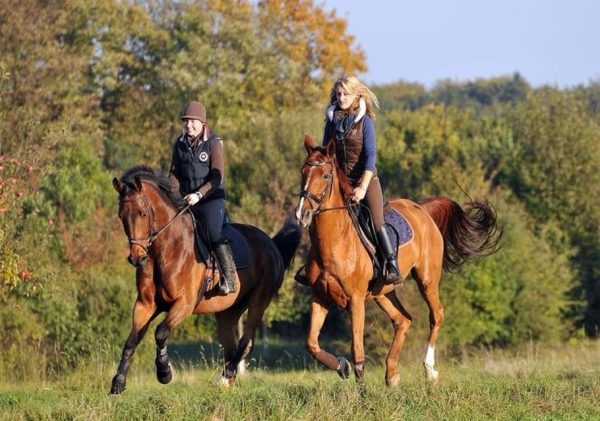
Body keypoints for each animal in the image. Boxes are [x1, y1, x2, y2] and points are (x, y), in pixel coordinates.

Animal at [109, 165, 300, 394]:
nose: (136, 258)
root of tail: (272, 244)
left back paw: (225, 377)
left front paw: (165, 373)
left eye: (143, 213)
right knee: (230, 345)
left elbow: (161, 332)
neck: (165, 249)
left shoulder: (184, 304)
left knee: (246, 342)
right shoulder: (145, 305)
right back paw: (227, 385)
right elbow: (131, 341)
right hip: (228, 312)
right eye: (121, 216)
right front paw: (118, 381)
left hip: (258, 302)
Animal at [296, 135, 502, 388]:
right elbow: (312, 344)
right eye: (303, 172)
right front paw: (342, 366)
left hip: (426, 278)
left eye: (325, 175)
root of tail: (422, 209)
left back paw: (429, 370)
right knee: (403, 320)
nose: (302, 214)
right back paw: (392, 374)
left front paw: (362, 392)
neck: (334, 242)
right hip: (383, 291)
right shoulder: (320, 296)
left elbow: (358, 353)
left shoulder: (355, 300)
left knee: (436, 314)